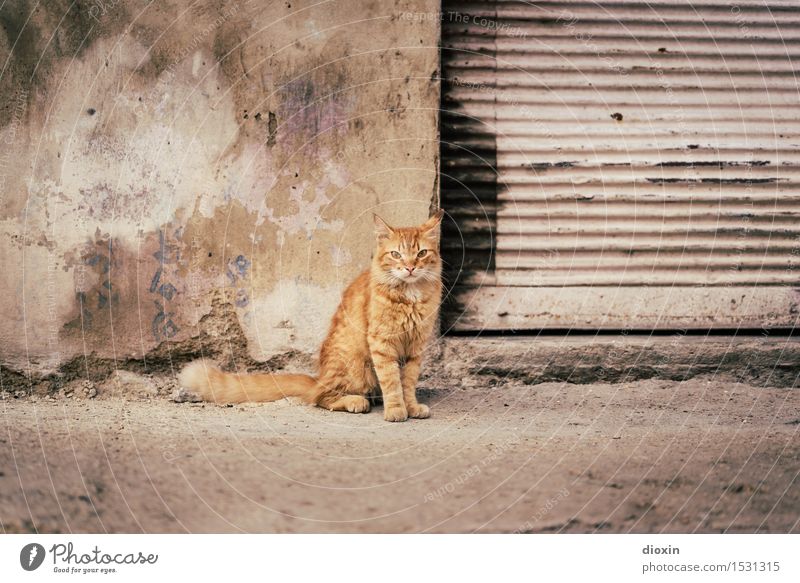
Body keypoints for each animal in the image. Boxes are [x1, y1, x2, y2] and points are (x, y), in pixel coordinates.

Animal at [178, 212, 444, 422]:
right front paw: (397, 410)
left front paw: (411, 407)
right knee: (321, 397)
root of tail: (319, 378)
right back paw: (356, 401)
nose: (410, 267)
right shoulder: (382, 343)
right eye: (396, 254)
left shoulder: (416, 347)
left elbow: (407, 383)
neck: (410, 295)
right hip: (355, 366)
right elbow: (392, 382)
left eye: (421, 253)